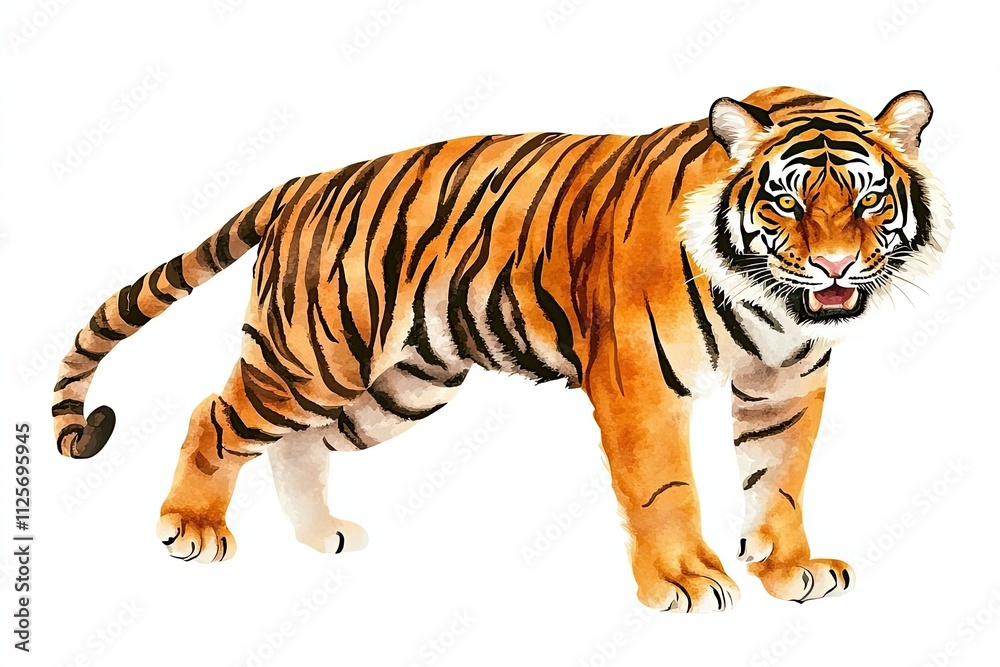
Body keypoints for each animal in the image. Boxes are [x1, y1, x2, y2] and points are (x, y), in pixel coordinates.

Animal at [52, 86, 949, 612]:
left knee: (296, 443)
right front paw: (685, 581)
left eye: (869, 199)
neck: (770, 303)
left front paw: (788, 570)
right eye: (787, 201)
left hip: (398, 387)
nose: (834, 266)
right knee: (215, 413)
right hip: (313, 356)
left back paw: (321, 535)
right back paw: (190, 527)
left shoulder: (785, 385)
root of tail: (303, 183)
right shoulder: (641, 383)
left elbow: (779, 482)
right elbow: (665, 490)